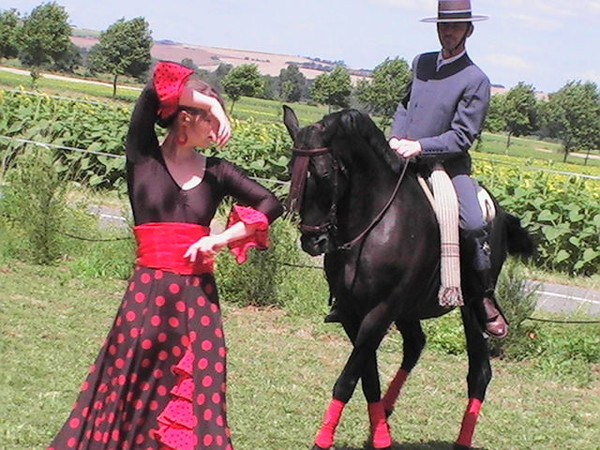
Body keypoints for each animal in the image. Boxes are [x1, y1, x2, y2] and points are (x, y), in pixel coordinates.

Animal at [284, 106, 536, 450]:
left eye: (323, 173)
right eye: (289, 169)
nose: (313, 241)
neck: (372, 226)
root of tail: (497, 209)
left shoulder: (379, 312)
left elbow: (347, 380)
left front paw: (322, 440)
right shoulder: (353, 313)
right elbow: (368, 379)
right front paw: (380, 436)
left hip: (470, 309)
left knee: (479, 372)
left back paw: (462, 440)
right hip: (408, 308)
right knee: (416, 345)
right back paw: (387, 412)